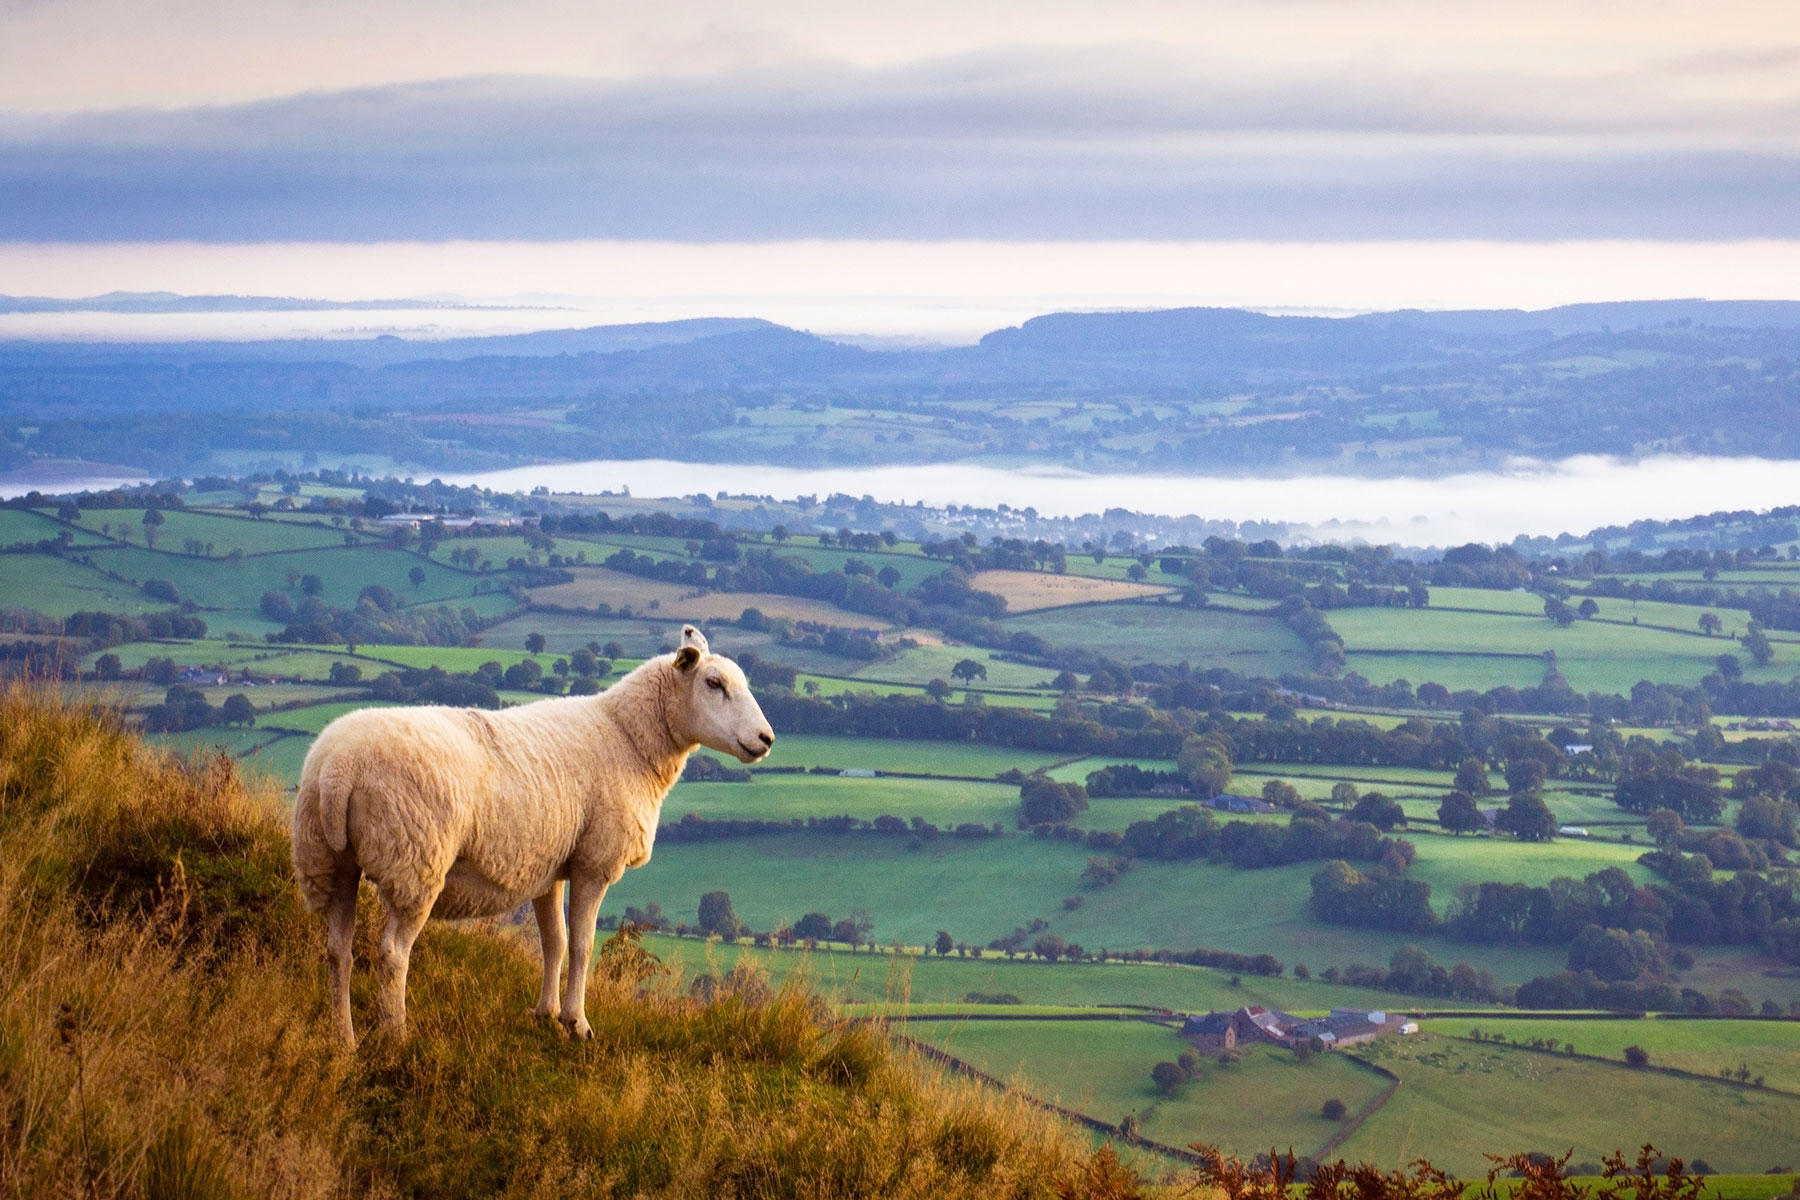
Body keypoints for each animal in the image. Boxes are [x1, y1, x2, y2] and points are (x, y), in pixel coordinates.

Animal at [289, 626, 774, 1043]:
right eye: (714, 683)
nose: (767, 739)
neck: (629, 738)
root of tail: (338, 769)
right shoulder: (594, 862)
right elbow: (581, 945)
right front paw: (577, 1023)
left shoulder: (548, 867)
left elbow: (553, 943)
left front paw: (546, 1014)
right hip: (415, 859)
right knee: (391, 954)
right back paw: (397, 1036)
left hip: (328, 861)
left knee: (338, 950)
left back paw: (344, 1040)